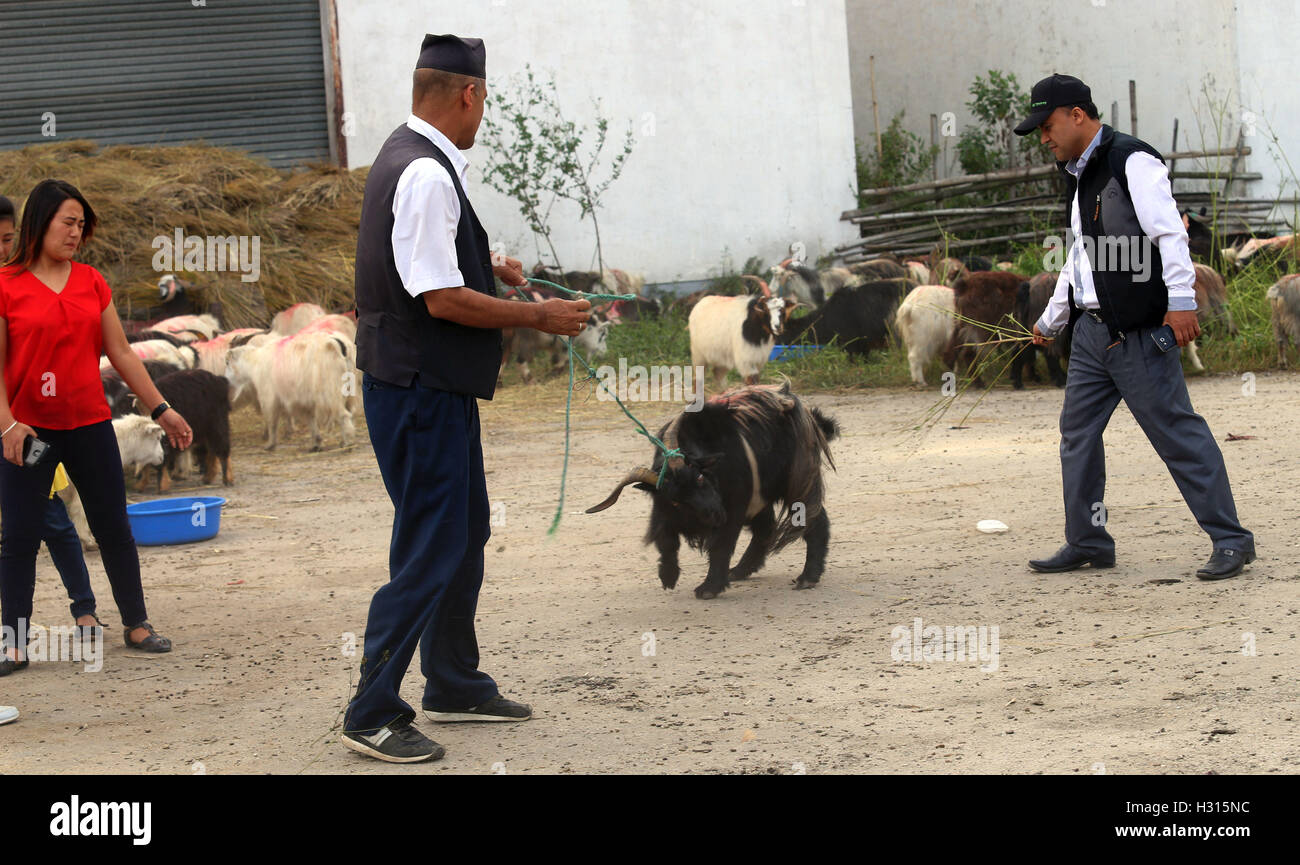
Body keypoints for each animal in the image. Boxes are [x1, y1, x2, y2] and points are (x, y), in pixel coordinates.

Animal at [587, 382, 837, 598]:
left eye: (699, 477)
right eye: (675, 500)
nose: (714, 514)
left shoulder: (735, 506)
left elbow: (720, 546)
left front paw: (709, 588)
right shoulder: (664, 510)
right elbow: (666, 540)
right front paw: (668, 576)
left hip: (797, 481)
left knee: (814, 519)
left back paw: (807, 577)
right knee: (765, 528)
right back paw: (740, 570)